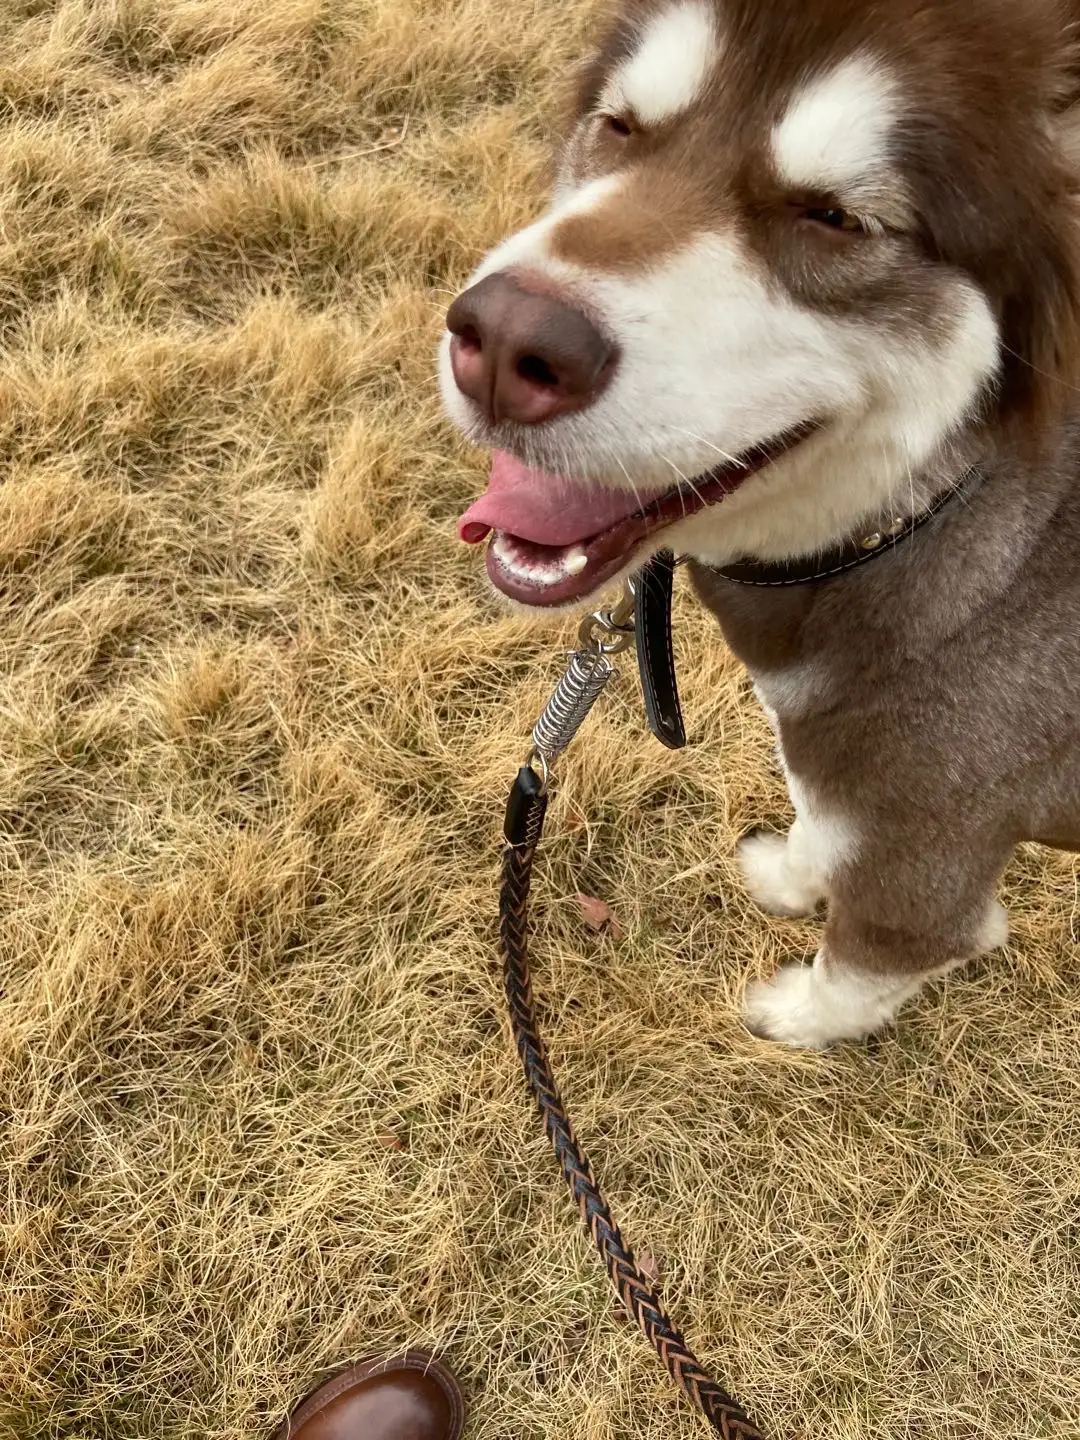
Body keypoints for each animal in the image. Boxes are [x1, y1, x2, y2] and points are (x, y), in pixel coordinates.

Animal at [437, 2, 1080, 1059]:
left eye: (835, 217)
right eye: (620, 127)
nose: (503, 345)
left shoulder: (924, 867)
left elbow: (860, 967)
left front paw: (796, 1019)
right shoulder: (843, 789)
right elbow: (819, 827)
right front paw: (791, 874)